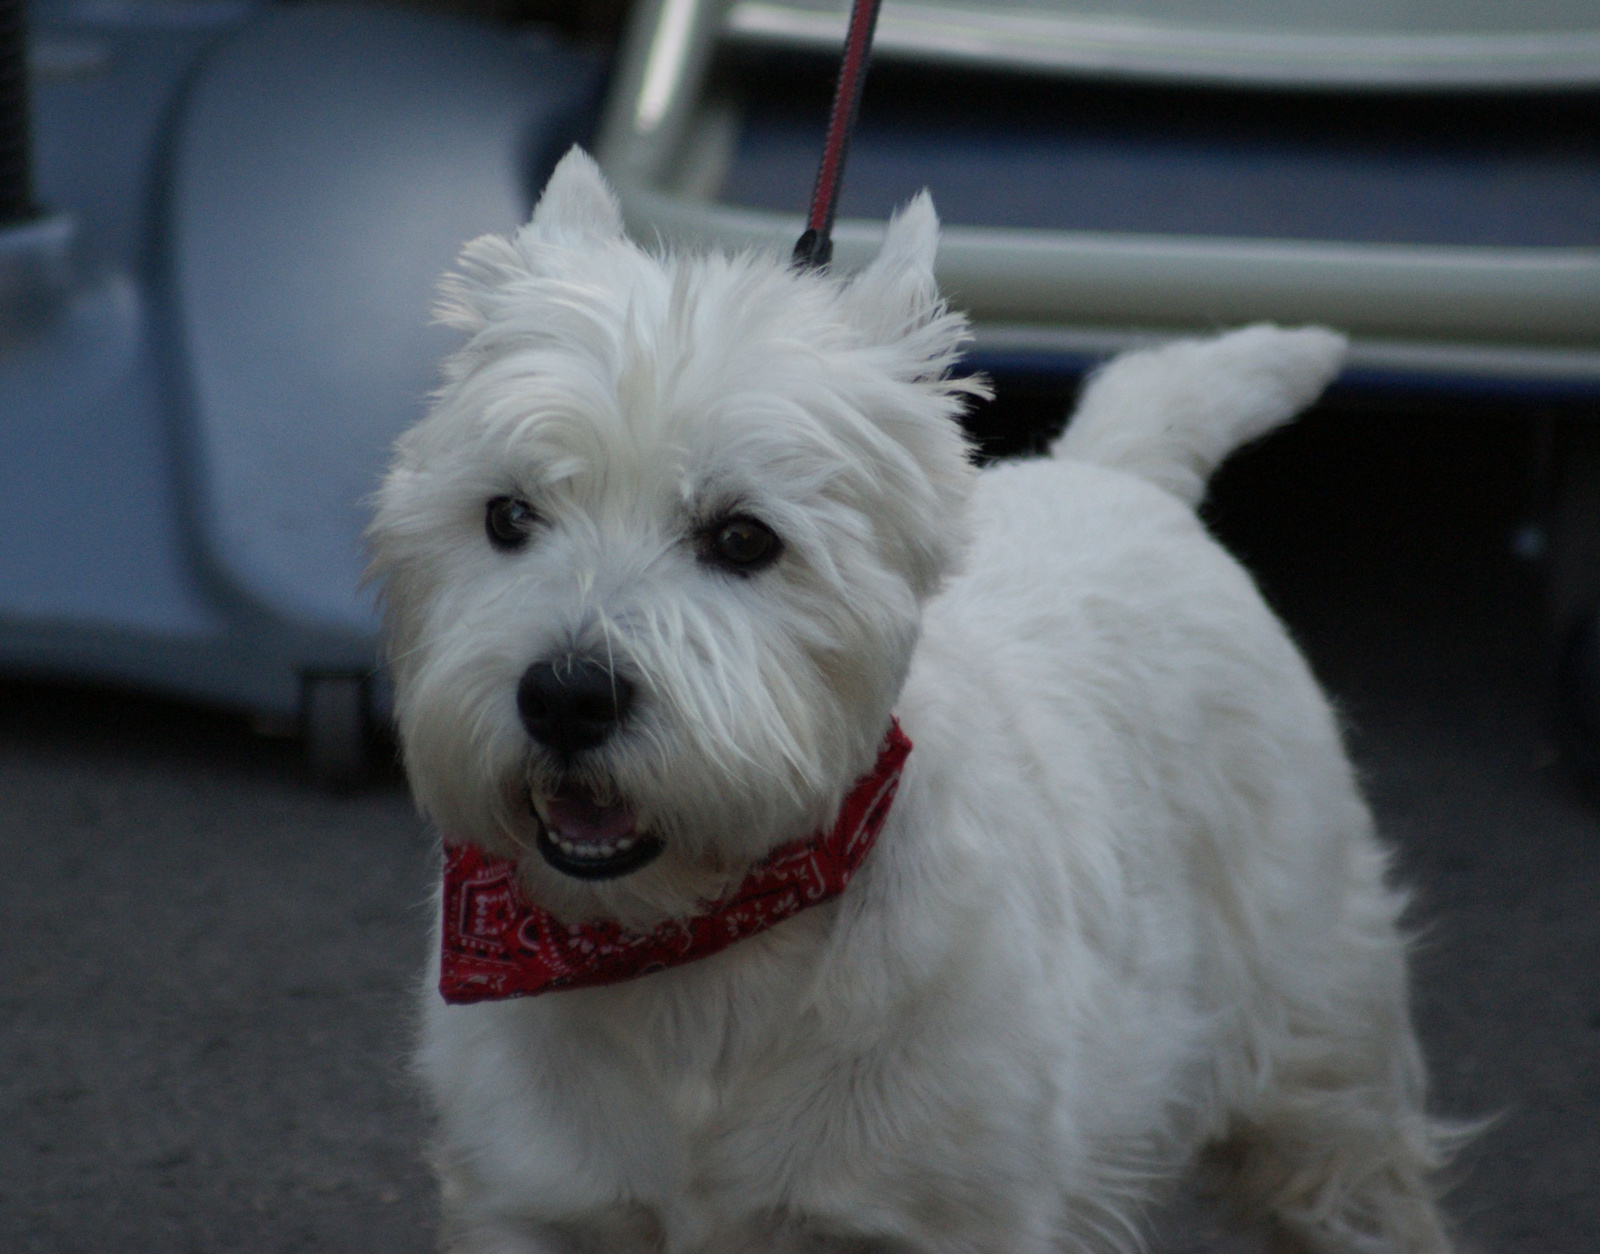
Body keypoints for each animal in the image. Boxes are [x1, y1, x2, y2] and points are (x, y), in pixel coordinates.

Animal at [371, 149, 1465, 1254]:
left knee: (1350, 1163)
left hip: (1316, 1035)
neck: (691, 953)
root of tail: (1115, 472)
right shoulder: (534, 1204)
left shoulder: (948, 1218)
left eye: (743, 537)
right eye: (508, 515)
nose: (564, 698)